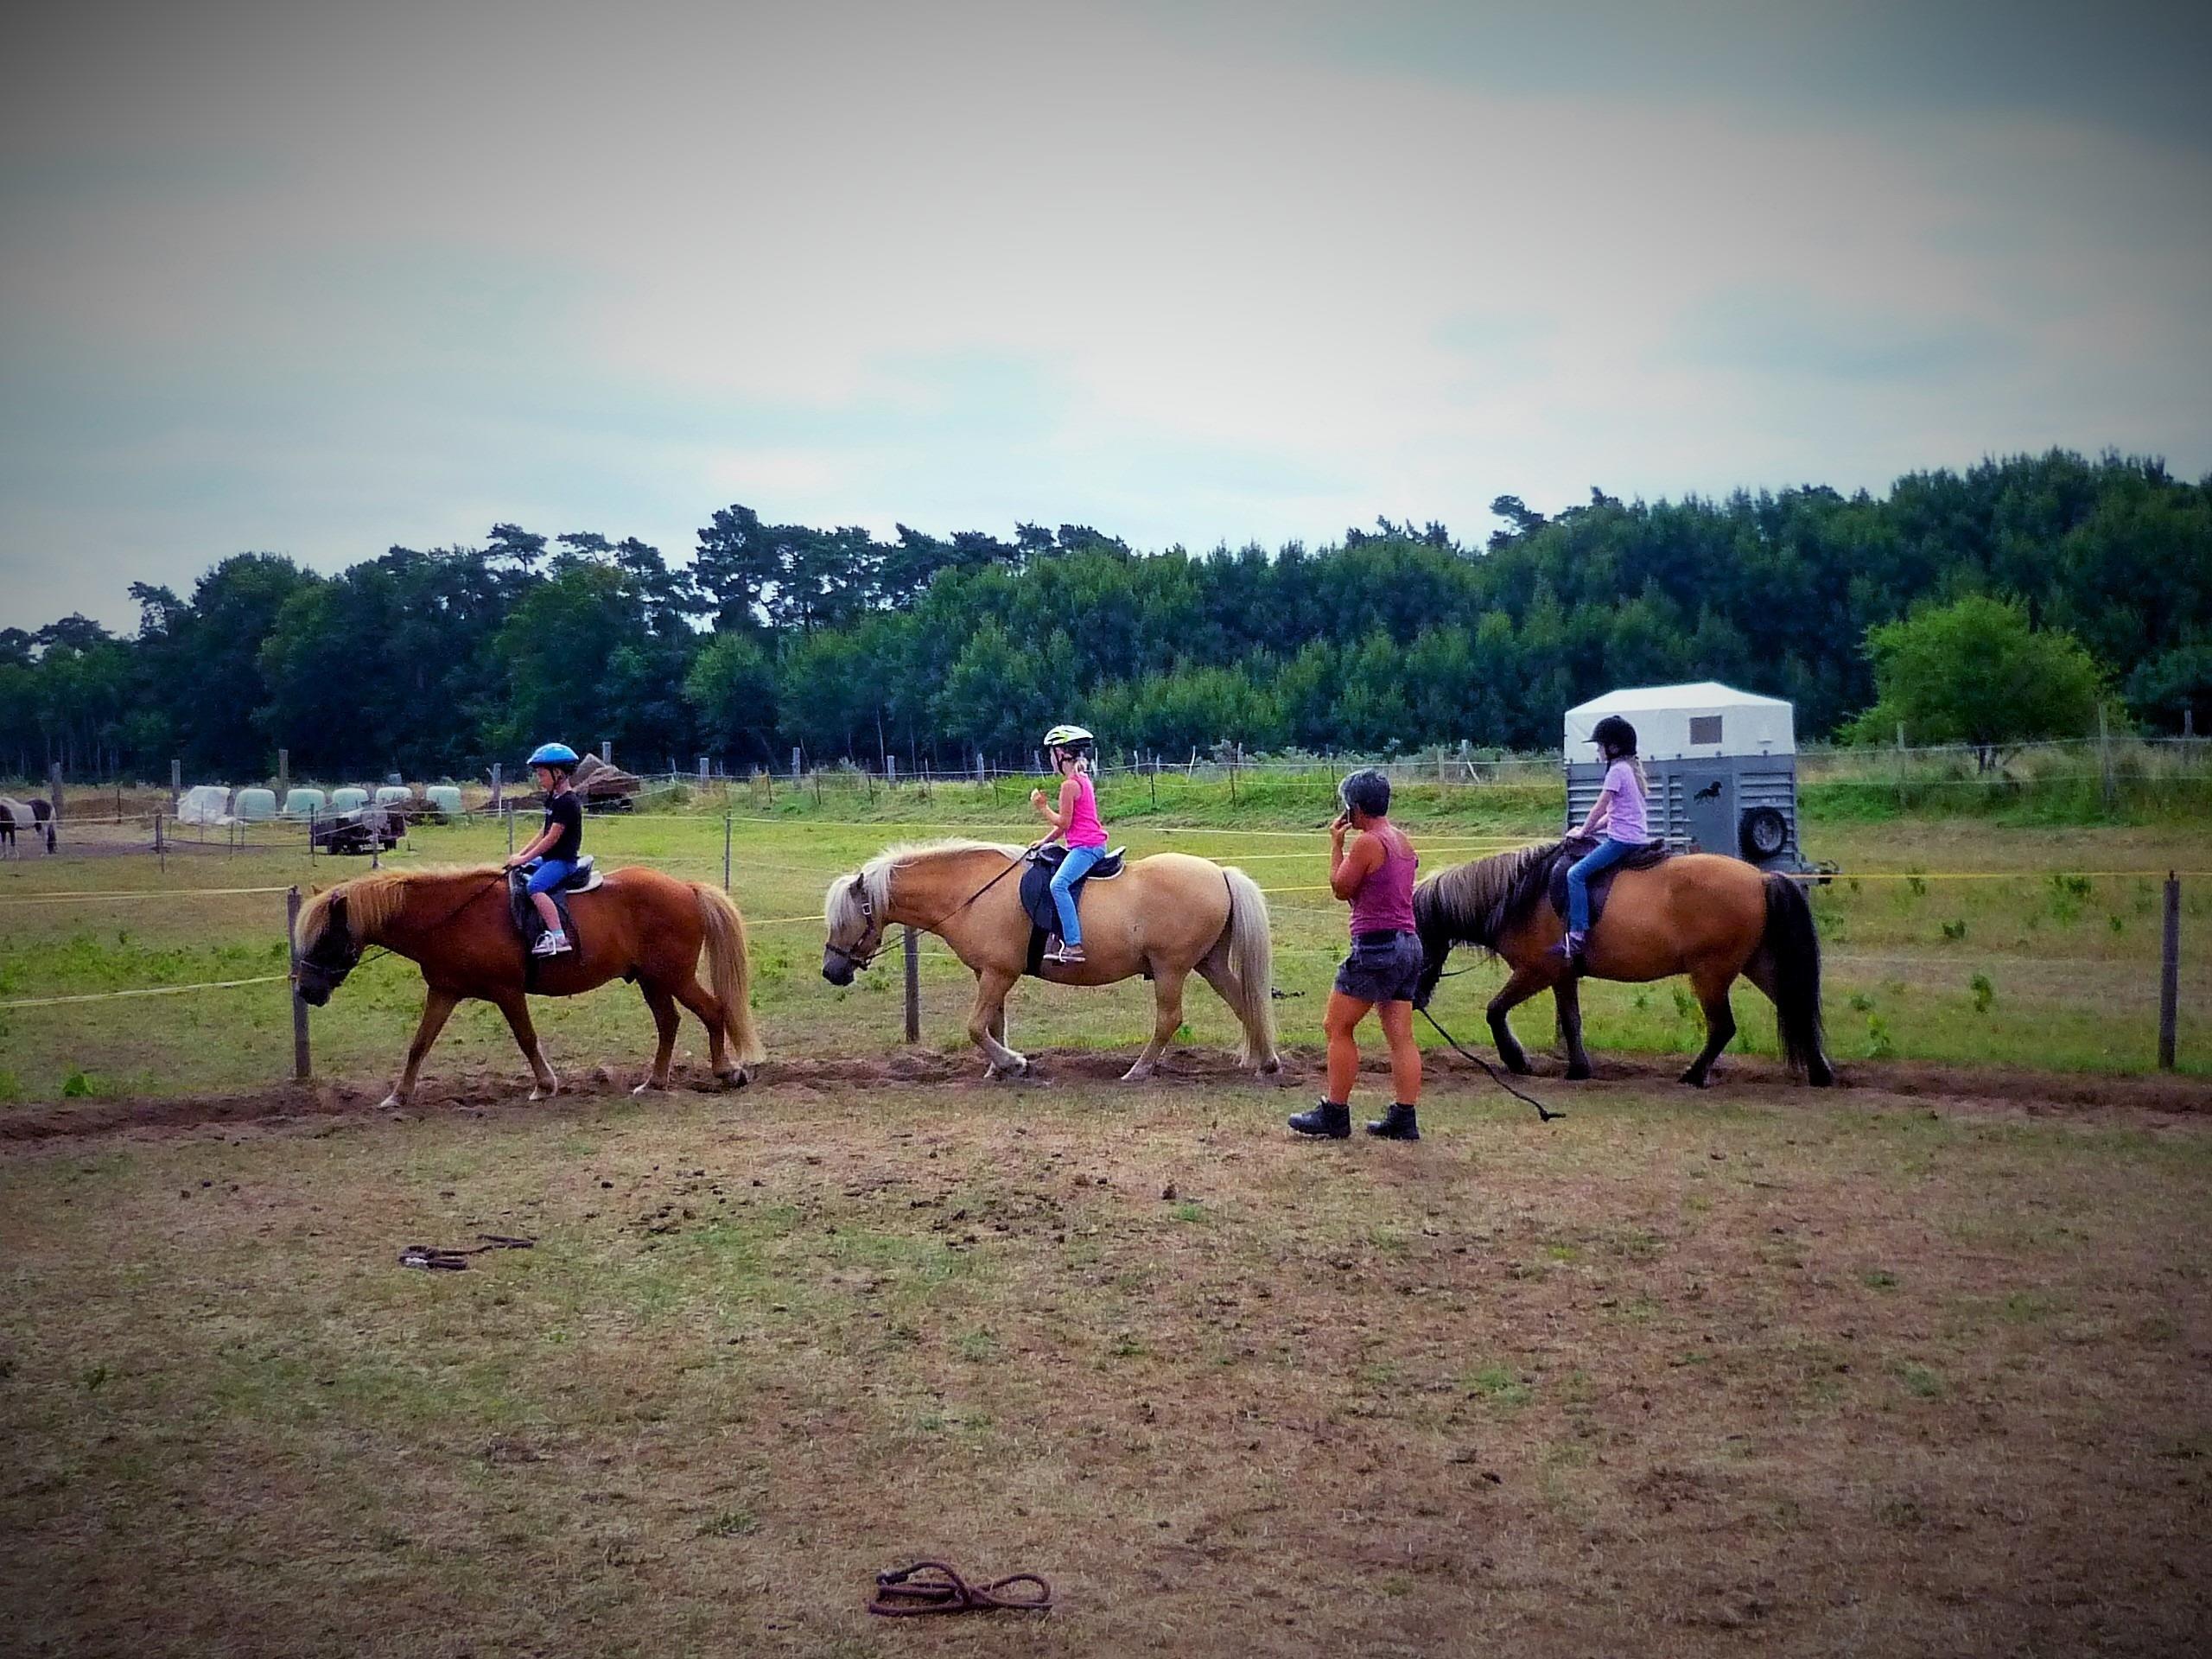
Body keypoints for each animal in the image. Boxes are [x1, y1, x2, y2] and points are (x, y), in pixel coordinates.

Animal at [293, 864, 766, 1109]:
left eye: (325, 937)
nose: (307, 992)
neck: (451, 916)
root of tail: (685, 887)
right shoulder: (444, 992)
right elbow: (419, 1044)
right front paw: (398, 1095)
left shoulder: (506, 991)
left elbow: (526, 1038)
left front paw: (544, 1085)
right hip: (652, 980)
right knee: (668, 1023)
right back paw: (654, 1082)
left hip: (674, 977)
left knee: (713, 1012)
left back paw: (726, 1071)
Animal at [821, 839, 1279, 1081]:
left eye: (847, 920)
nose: (832, 971)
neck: (972, 891)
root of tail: (1220, 873)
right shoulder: (991, 974)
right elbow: (993, 1023)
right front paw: (999, 1069)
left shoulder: (998, 973)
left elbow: (975, 1027)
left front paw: (1013, 1062)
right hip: (1209, 963)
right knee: (1245, 1002)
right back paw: (1265, 1062)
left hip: (1171, 969)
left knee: (1170, 1019)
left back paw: (1139, 1070)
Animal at [1412, 839, 1832, 1088]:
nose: (1414, 1000)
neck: (1519, 895)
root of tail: (1762, 876)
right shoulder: (1563, 975)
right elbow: (1571, 1021)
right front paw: (1578, 1069)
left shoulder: (1537, 971)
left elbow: (1495, 1010)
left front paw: (1517, 1060)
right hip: (1756, 964)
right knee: (1793, 1006)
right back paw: (1820, 1072)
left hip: (1711, 974)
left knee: (1723, 1028)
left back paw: (1694, 1075)